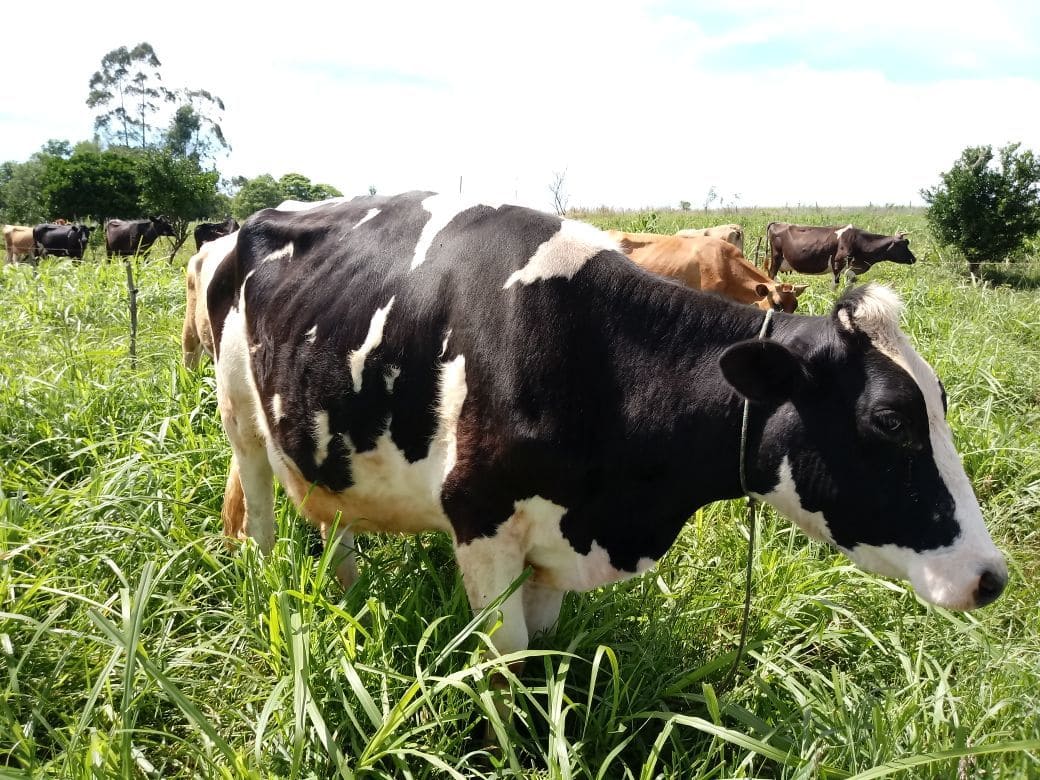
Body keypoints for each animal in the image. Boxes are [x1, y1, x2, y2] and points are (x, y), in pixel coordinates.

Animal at [765, 222, 919, 287]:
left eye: (907, 243)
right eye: (903, 245)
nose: (914, 259)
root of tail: (777, 223)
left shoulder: (852, 268)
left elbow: (851, 281)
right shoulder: (838, 263)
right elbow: (836, 285)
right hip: (776, 257)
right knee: (771, 274)